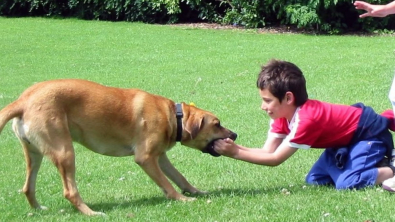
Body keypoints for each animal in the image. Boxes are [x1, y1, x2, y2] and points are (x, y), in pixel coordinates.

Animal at [0, 79, 237, 215]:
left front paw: (196, 191)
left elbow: (179, 177)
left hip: (34, 154)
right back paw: (91, 213)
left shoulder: (160, 157)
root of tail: (23, 100)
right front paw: (182, 199)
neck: (173, 115)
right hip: (65, 152)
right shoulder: (146, 158)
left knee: (28, 187)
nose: (235, 134)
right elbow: (167, 184)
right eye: (217, 124)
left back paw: (39, 209)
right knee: (70, 191)